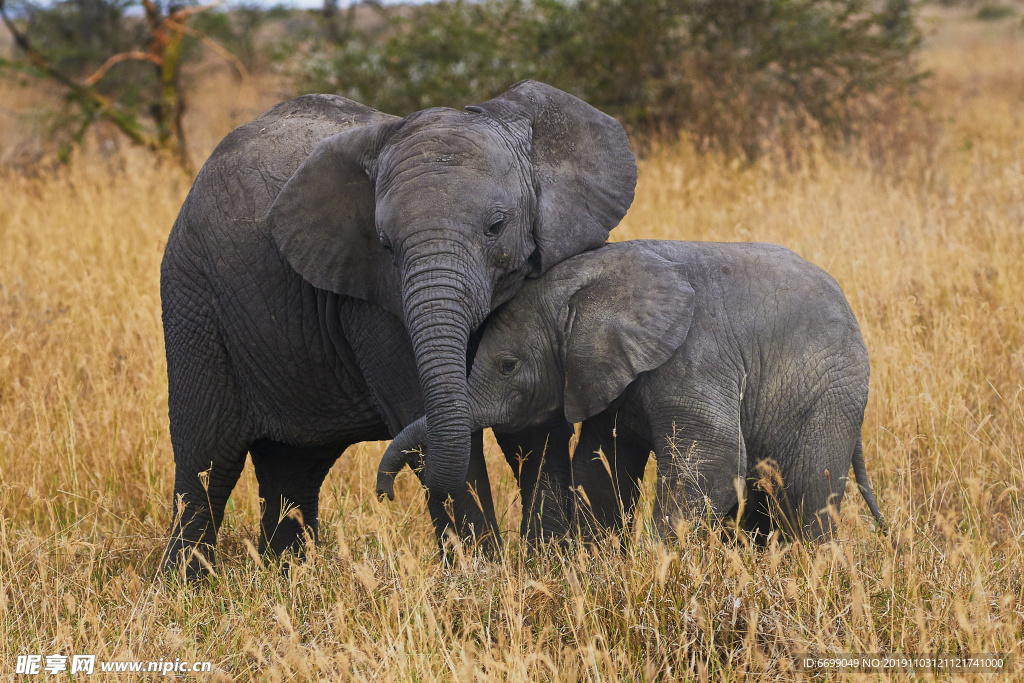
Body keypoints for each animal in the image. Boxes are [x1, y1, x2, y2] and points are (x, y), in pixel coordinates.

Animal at [160, 80, 637, 577]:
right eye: (385, 245)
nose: (382, 492)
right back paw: (187, 585)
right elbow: (435, 430)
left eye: (496, 226)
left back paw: (286, 576)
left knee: (293, 469)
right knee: (207, 463)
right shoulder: (371, 305)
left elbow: (533, 425)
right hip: (194, 302)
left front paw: (552, 565)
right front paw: (480, 575)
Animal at [377, 240, 885, 541]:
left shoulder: (693, 358)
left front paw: (662, 564)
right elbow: (600, 468)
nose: (384, 494)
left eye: (507, 366)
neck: (591, 283)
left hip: (829, 396)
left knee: (806, 495)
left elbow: (713, 464)